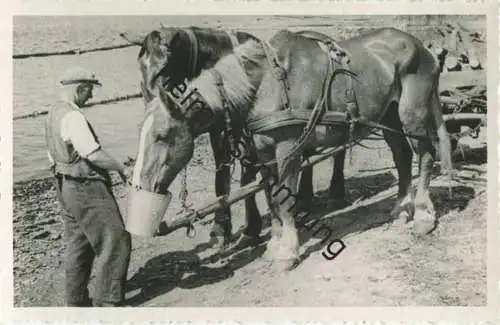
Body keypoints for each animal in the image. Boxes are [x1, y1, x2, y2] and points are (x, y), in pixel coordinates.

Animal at [130, 27, 454, 270]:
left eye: (162, 135)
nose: (140, 185)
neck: (265, 84)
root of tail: (422, 47)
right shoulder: (264, 156)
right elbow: (272, 199)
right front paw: (273, 244)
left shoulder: (287, 151)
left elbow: (284, 201)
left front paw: (287, 251)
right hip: (388, 117)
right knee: (402, 157)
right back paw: (401, 208)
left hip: (413, 116)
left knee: (425, 156)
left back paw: (423, 215)